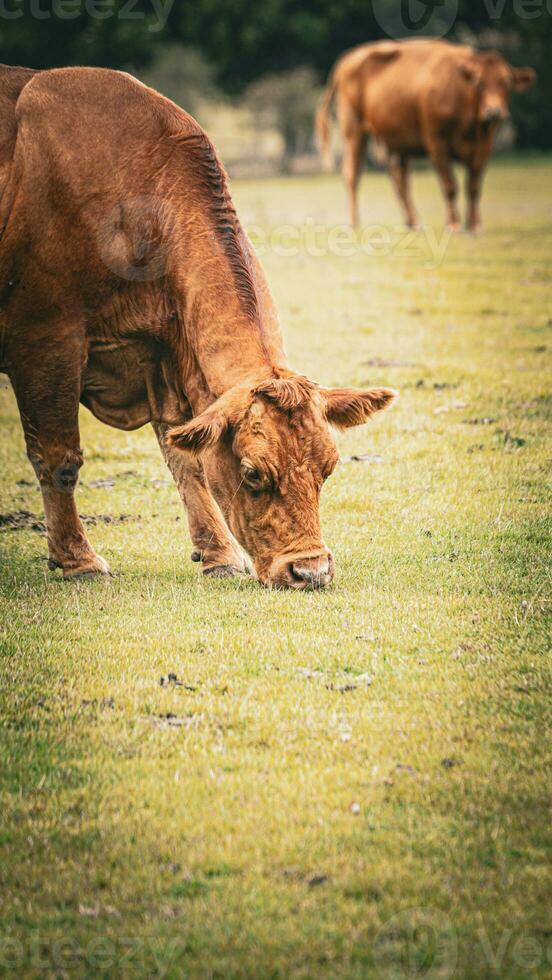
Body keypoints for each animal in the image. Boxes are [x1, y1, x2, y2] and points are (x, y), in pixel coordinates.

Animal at [316, 39, 536, 231]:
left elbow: (473, 187)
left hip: (397, 143)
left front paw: (474, 225)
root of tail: (346, 61)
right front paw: (453, 224)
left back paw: (414, 222)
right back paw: (355, 222)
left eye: (506, 82)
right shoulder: (437, 144)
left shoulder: (484, 147)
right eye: (478, 82)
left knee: (399, 179)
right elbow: (450, 185)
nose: (494, 111)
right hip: (354, 131)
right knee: (353, 174)